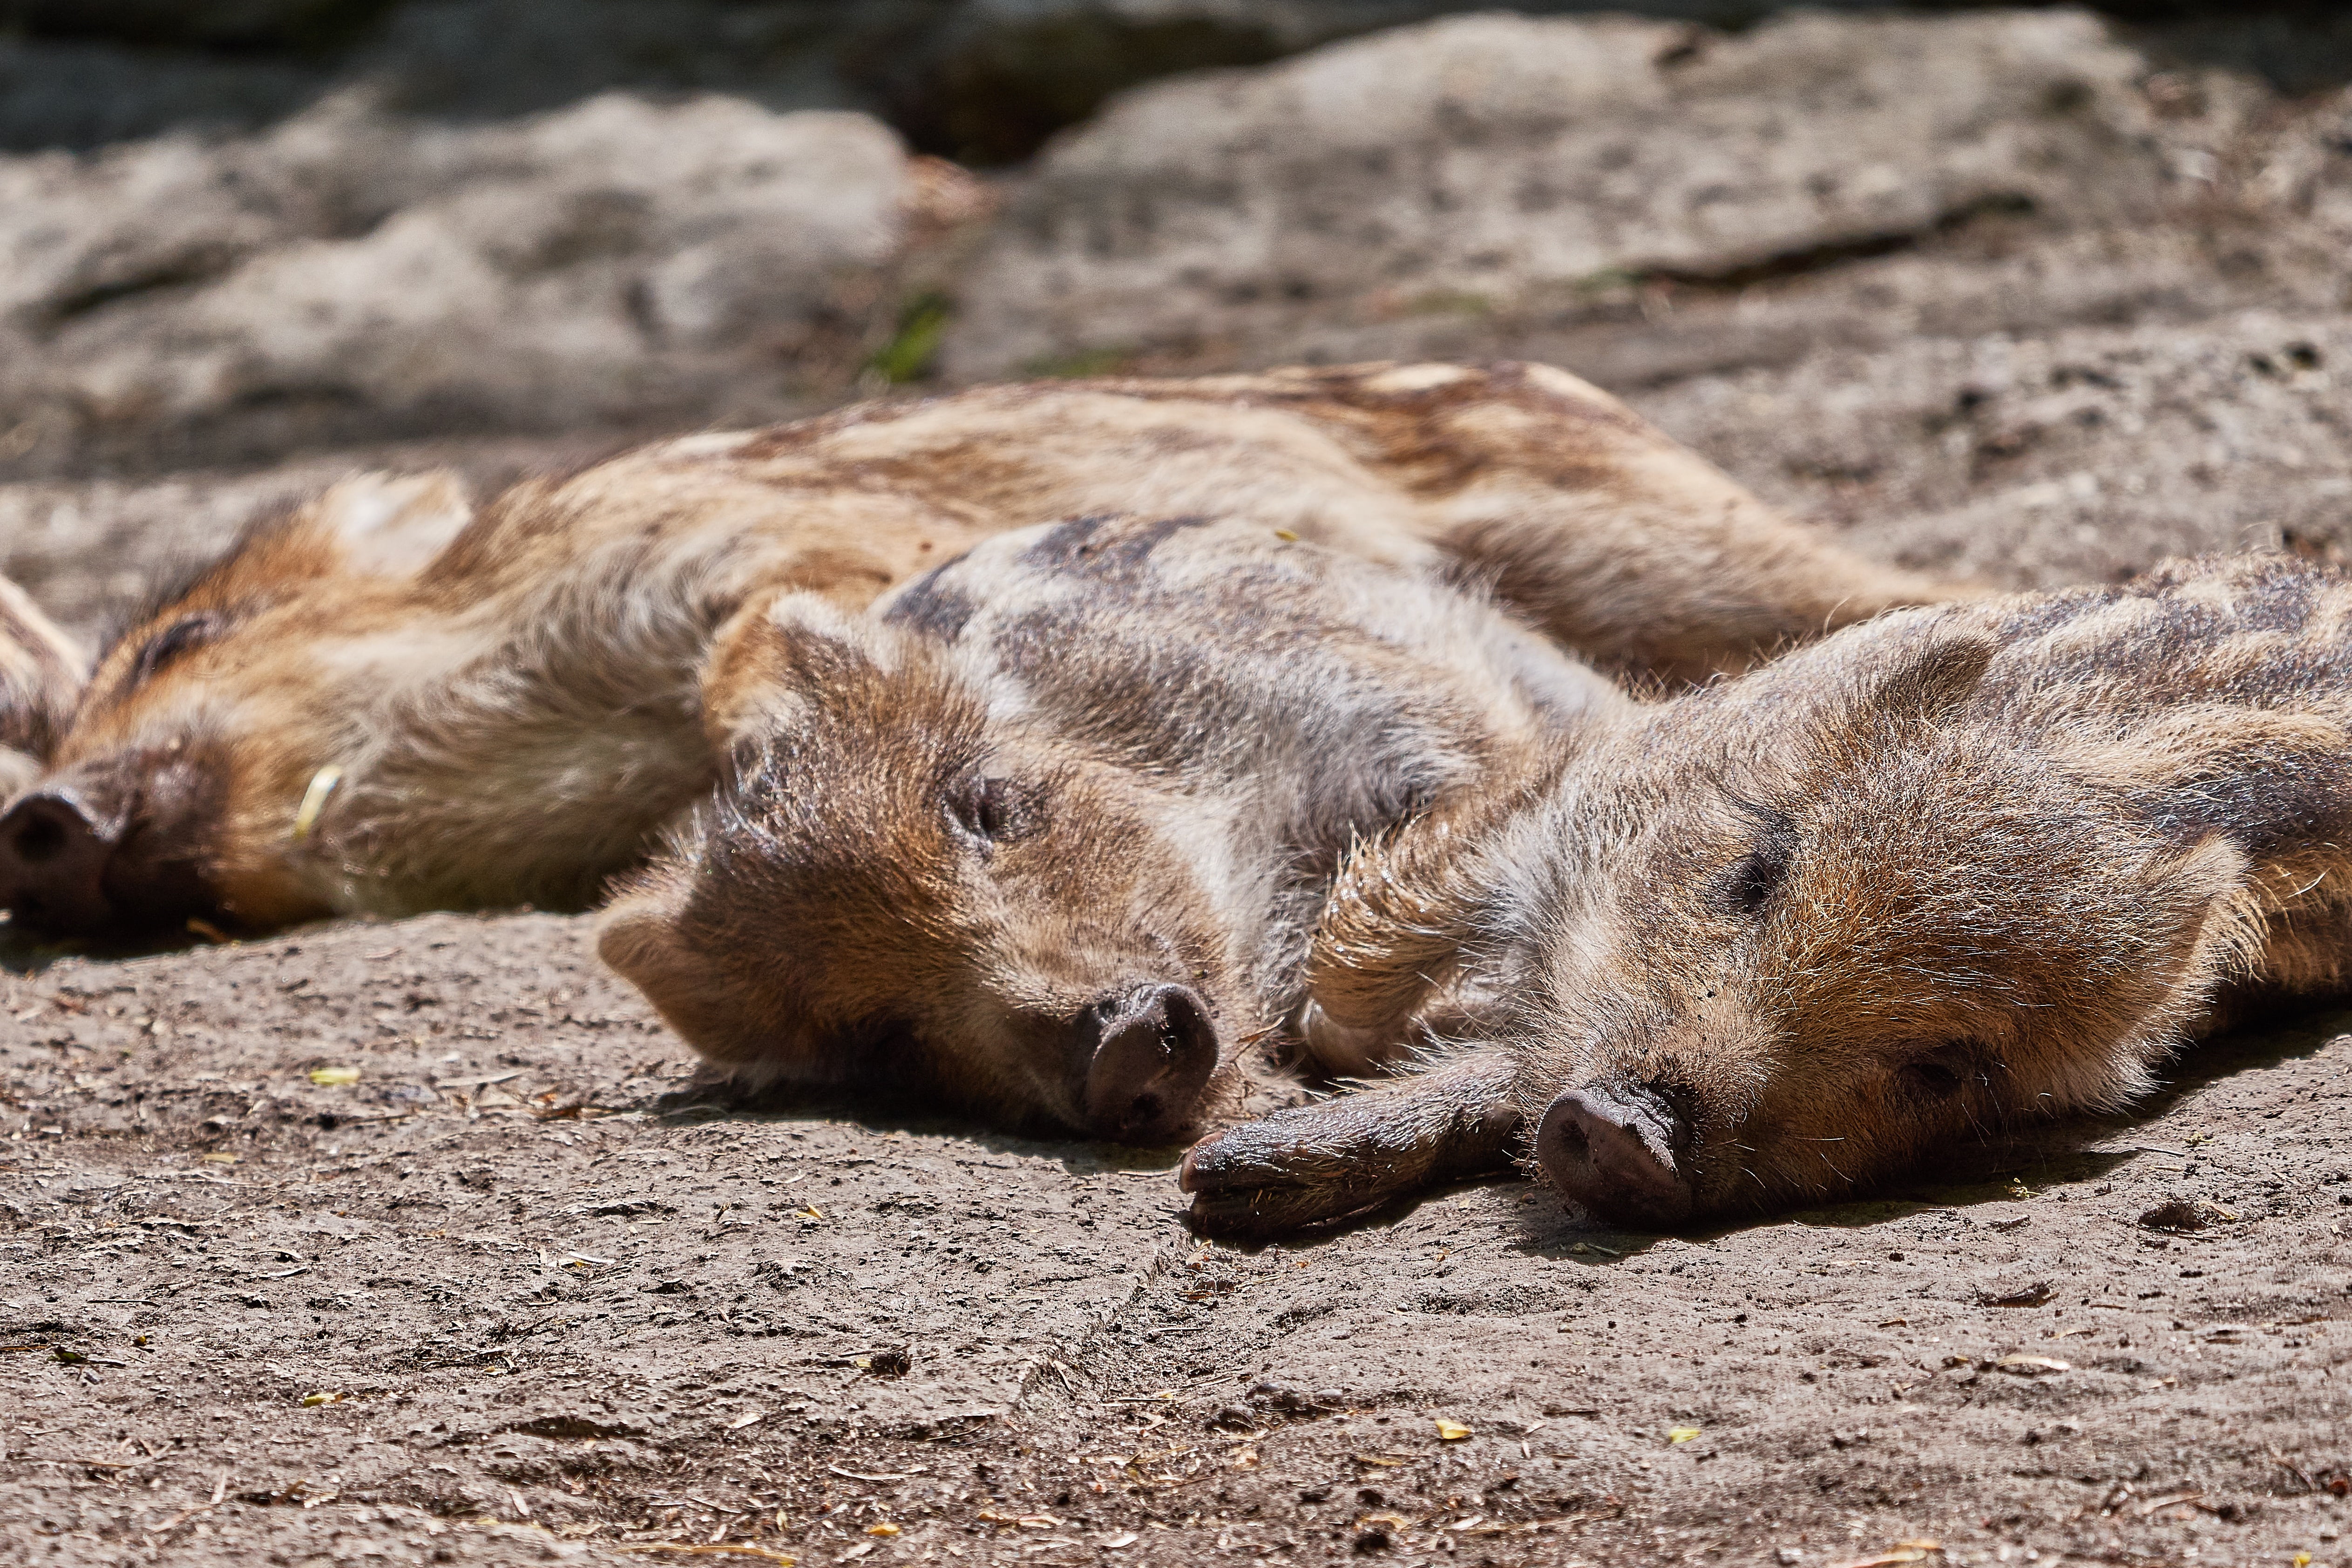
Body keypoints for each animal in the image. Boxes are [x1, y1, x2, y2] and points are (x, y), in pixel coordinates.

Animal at [1184, 554, 2352, 1231]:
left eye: (1944, 1068)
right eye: (1755, 874)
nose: (1630, 1134)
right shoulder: (1571, 784)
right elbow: (1364, 949)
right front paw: (1223, 1174)